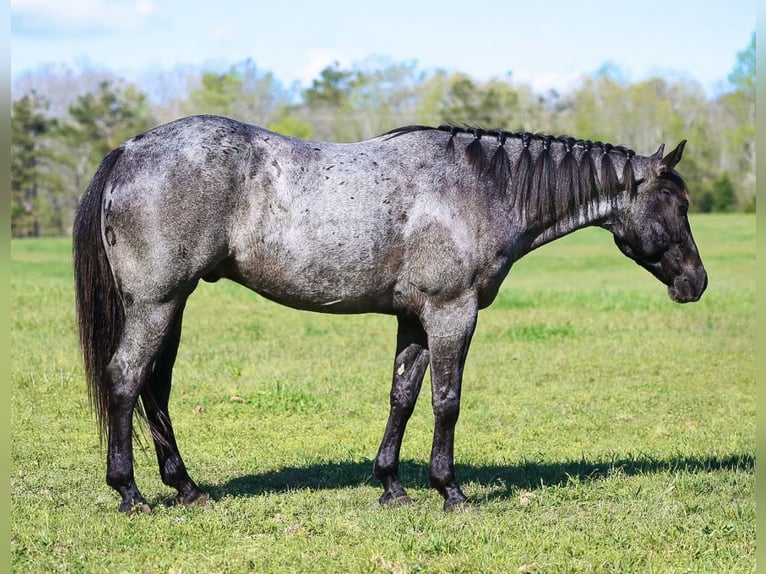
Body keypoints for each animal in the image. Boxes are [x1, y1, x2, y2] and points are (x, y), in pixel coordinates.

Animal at [73, 115, 707, 513]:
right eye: (678, 204)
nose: (696, 282)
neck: (479, 187)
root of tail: (129, 150)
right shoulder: (453, 314)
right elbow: (446, 400)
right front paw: (450, 491)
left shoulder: (414, 319)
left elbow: (402, 395)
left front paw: (391, 485)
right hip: (156, 304)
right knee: (126, 379)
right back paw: (130, 493)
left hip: (172, 305)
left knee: (155, 386)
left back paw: (185, 488)